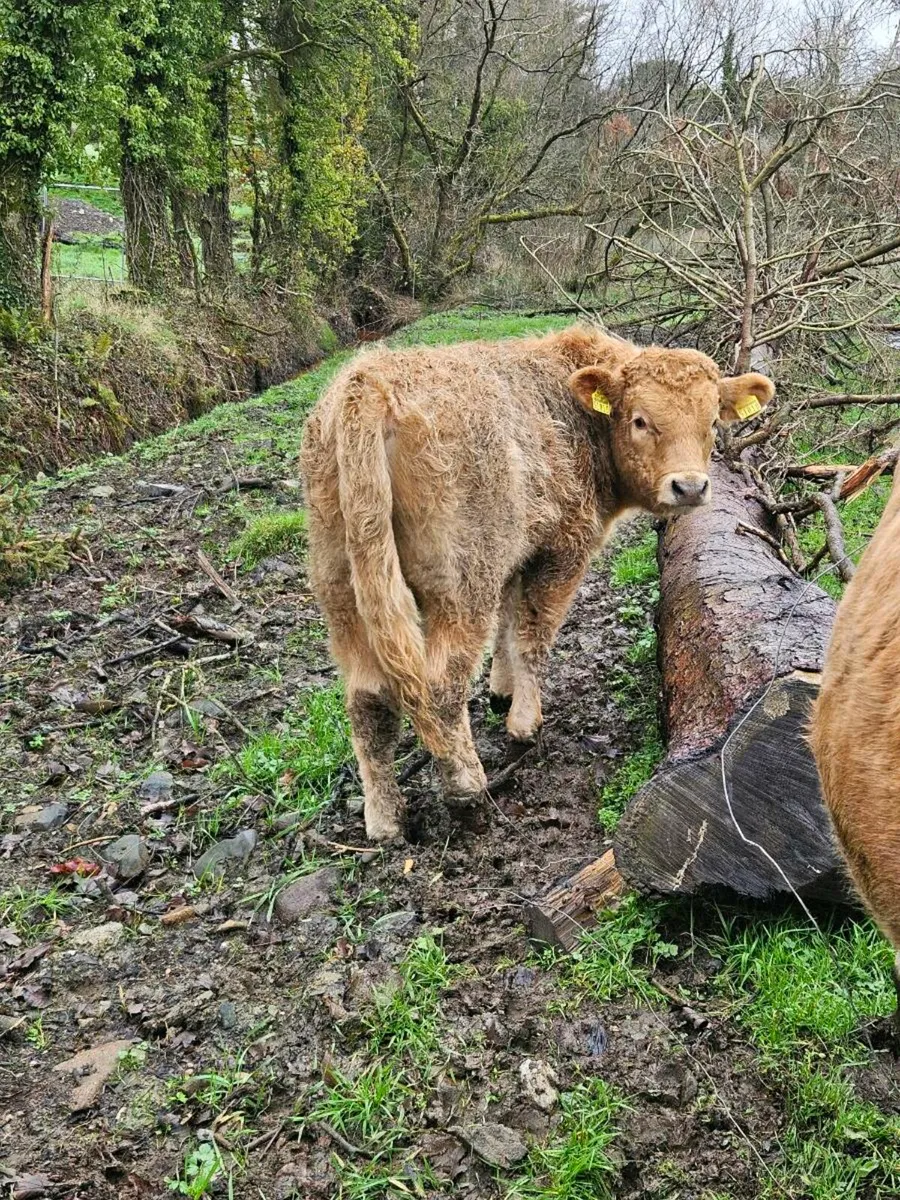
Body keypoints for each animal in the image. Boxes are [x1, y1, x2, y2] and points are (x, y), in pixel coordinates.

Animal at [300, 324, 774, 841]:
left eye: (711, 423)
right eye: (640, 420)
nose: (689, 487)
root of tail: (367, 383)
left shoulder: (519, 553)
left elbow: (509, 623)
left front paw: (501, 691)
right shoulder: (563, 550)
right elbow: (533, 634)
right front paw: (525, 722)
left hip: (341, 587)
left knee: (366, 701)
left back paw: (384, 817)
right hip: (460, 583)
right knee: (440, 686)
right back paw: (467, 789)